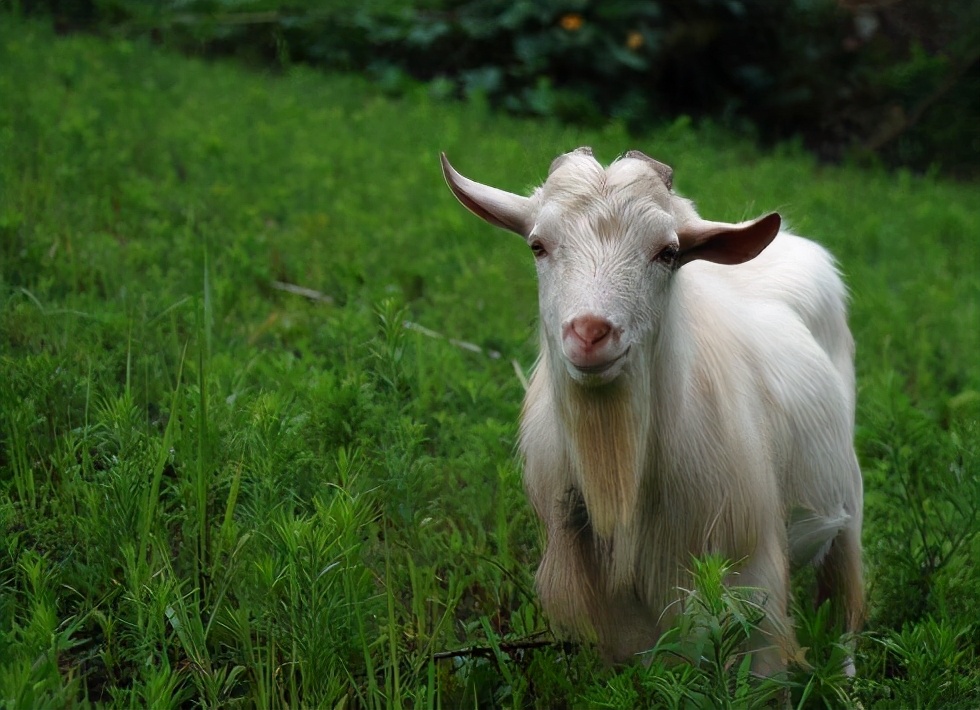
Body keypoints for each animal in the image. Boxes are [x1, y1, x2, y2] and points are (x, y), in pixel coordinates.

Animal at [440, 149, 860, 672]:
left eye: (667, 252)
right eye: (538, 245)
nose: (590, 332)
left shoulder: (755, 585)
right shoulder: (612, 615)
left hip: (849, 498)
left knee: (845, 606)